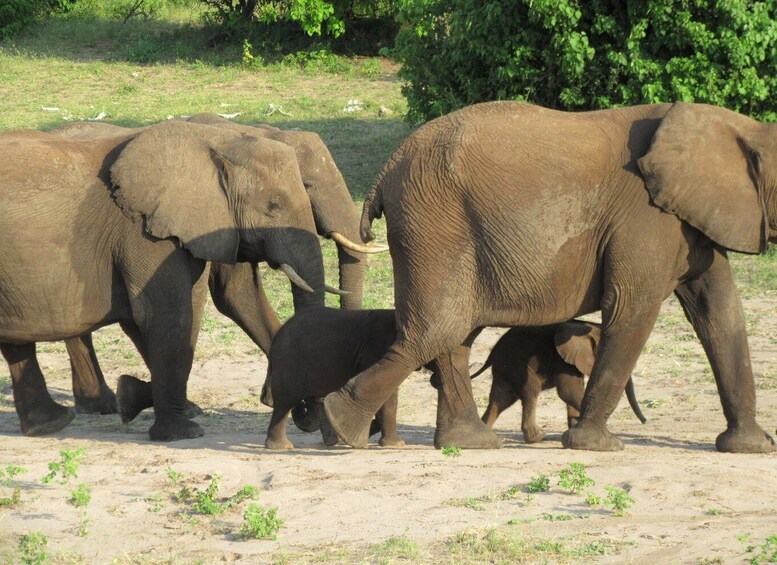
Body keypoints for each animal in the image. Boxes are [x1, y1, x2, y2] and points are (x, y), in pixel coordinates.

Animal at [0, 120, 324, 440]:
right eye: (273, 206)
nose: (306, 419)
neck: (216, 140)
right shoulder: (144, 234)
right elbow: (169, 314)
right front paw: (180, 430)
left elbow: (206, 306)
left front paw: (138, 398)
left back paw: (52, 423)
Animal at [51, 114, 378, 414]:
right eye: (308, 186)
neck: (246, 134)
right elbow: (219, 296)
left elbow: (240, 294)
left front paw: (275, 398)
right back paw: (103, 404)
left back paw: (96, 404)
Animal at [262, 306, 406, 448]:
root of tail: (277, 336)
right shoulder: (373, 352)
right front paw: (396, 445)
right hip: (290, 361)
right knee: (286, 401)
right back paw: (282, 446)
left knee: (311, 399)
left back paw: (332, 440)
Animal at [322, 101, 776, 454]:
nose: (644, 427)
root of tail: (387, 168)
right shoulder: (646, 221)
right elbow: (631, 308)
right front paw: (597, 446)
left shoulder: (692, 220)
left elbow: (719, 312)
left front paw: (752, 447)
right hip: (433, 225)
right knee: (436, 330)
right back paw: (339, 428)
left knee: (454, 335)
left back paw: (468, 443)